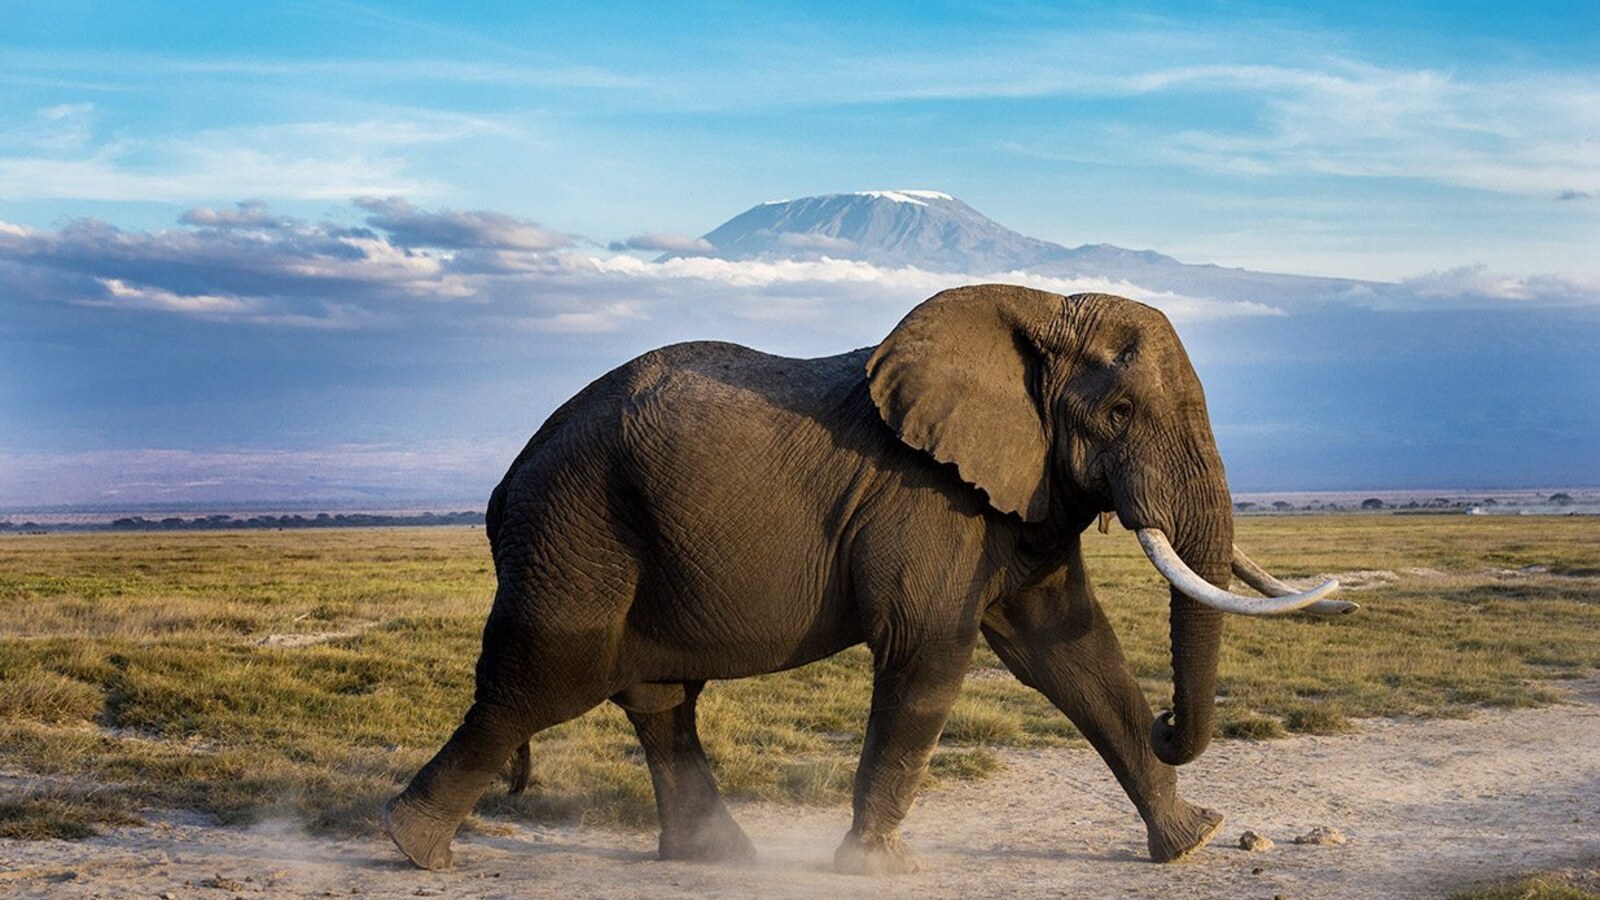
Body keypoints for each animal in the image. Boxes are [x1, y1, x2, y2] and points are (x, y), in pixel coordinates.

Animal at [382, 284, 1348, 874]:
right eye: (1116, 413)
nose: (1170, 721)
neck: (1036, 306)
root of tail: (506, 478)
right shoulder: (929, 500)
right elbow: (929, 658)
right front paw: (880, 868)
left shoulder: (1017, 496)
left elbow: (1074, 651)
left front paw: (1194, 842)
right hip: (575, 534)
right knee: (540, 682)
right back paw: (413, 847)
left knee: (658, 700)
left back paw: (722, 862)